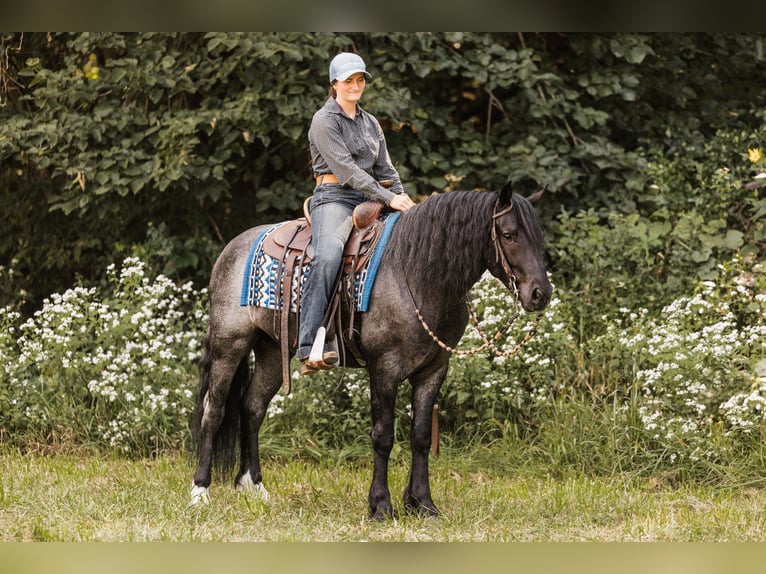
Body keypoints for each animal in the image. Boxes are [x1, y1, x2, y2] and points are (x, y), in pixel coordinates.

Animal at [190, 180, 552, 519]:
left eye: (539, 237)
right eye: (508, 235)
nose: (540, 293)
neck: (416, 272)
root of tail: (233, 246)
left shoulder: (434, 370)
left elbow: (421, 436)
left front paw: (423, 504)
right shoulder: (384, 369)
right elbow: (383, 436)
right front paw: (381, 506)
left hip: (269, 349)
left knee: (252, 409)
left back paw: (254, 487)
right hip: (229, 345)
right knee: (214, 412)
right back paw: (200, 491)